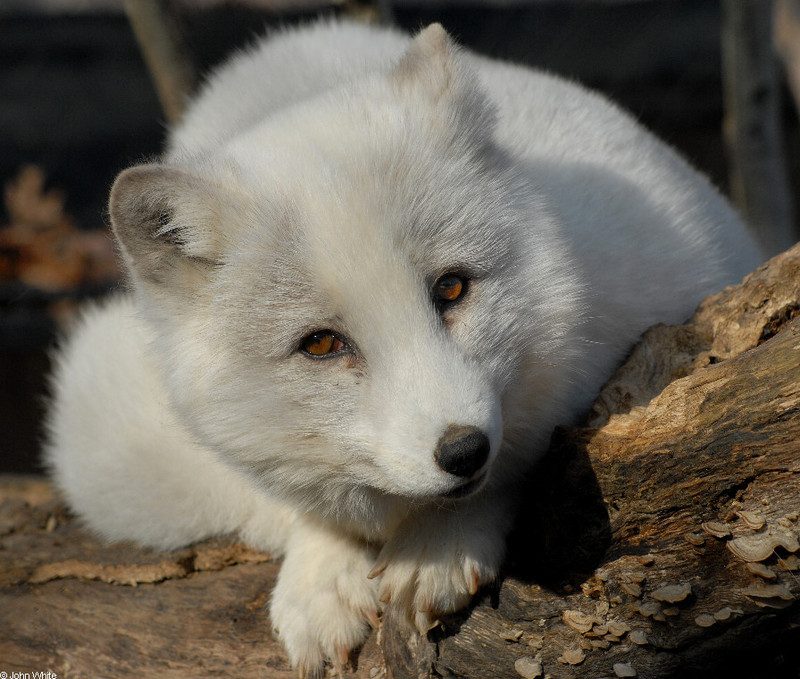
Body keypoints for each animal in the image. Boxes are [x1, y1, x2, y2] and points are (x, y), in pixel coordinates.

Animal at [45, 18, 764, 676]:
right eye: (322, 344)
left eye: (451, 288)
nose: (464, 450)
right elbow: (284, 493)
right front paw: (324, 570)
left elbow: (524, 452)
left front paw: (437, 543)